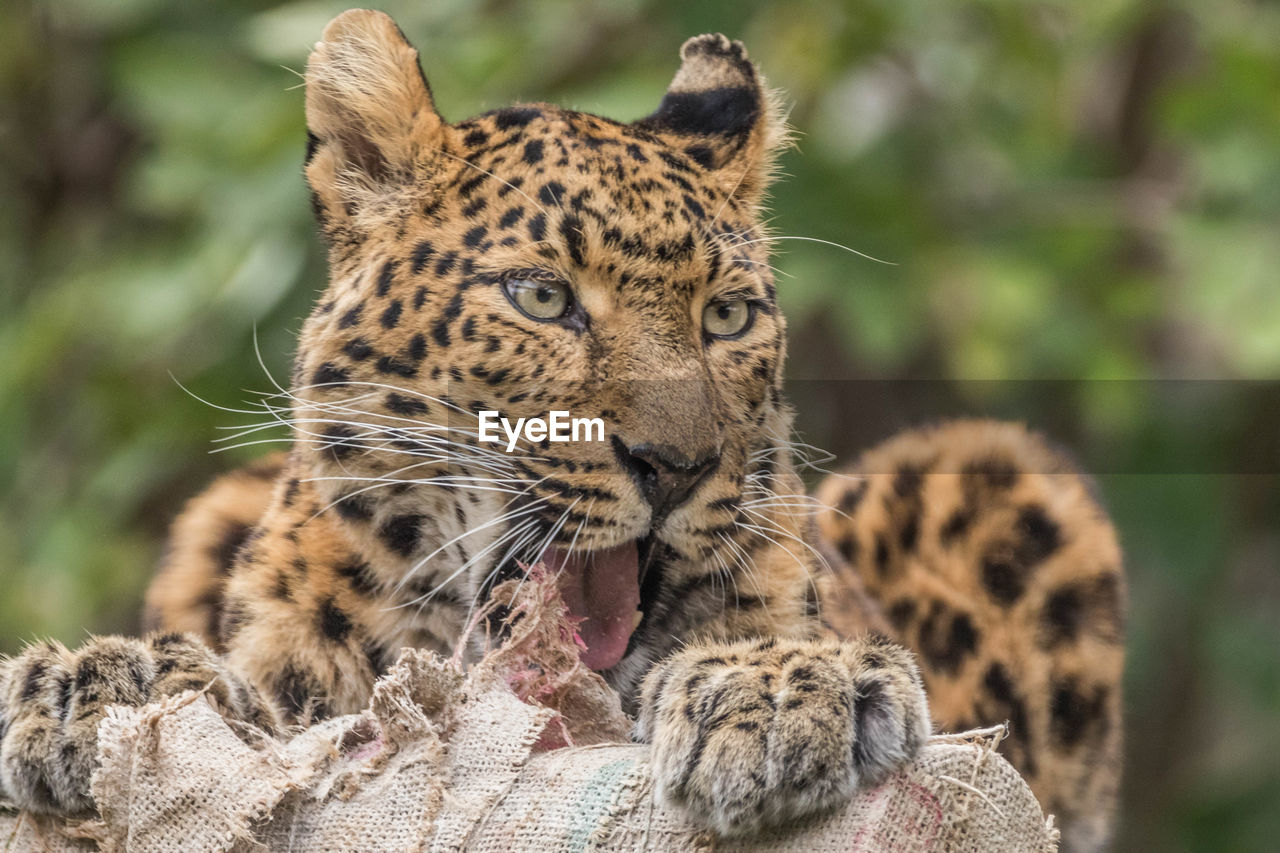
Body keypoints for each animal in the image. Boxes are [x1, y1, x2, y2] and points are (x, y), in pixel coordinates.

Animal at [0, 9, 1121, 845]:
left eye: (726, 317)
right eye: (542, 298)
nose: (677, 465)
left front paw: (777, 689)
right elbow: (273, 724)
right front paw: (107, 685)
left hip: (989, 464)